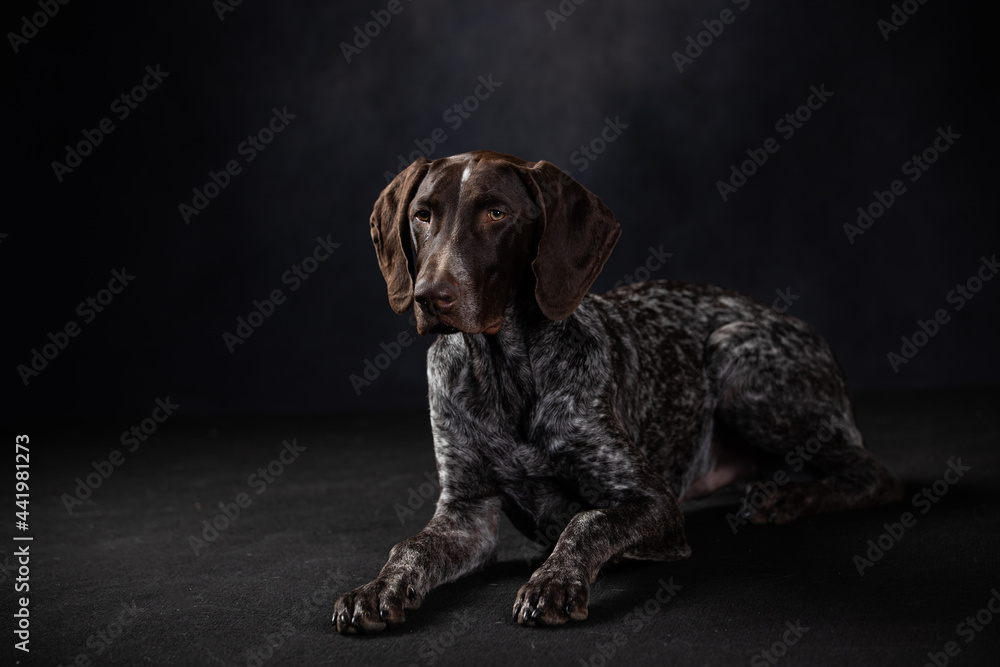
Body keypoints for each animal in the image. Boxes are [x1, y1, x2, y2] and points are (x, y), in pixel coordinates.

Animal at [332, 149, 904, 636]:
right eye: (422, 216)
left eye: (497, 214)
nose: (430, 297)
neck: (503, 372)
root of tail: (802, 327)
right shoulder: (466, 513)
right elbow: (409, 547)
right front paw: (376, 589)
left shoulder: (653, 500)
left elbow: (586, 521)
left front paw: (554, 579)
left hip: (734, 355)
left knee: (875, 475)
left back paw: (787, 497)